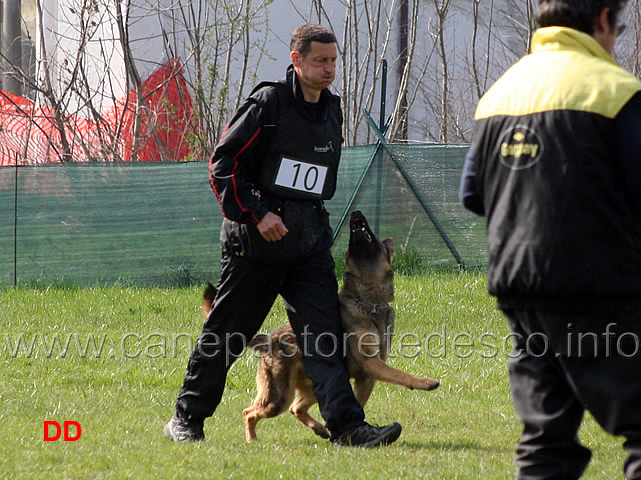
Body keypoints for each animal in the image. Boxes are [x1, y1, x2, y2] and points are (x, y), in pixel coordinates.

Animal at [202, 210, 438, 442]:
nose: (356, 213)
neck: (369, 302)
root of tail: (270, 339)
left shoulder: (368, 376)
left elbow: (361, 399)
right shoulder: (371, 365)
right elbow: (400, 374)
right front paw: (425, 382)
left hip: (312, 387)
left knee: (296, 408)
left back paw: (320, 429)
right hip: (279, 396)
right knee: (250, 412)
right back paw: (252, 440)